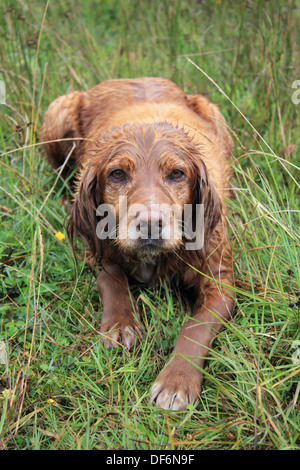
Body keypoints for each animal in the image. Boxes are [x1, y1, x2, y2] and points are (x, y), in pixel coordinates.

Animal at [39, 76, 234, 408]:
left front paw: (177, 380)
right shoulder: (98, 250)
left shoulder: (220, 278)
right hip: (58, 111)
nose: (150, 223)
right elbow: (112, 278)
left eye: (177, 173)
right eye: (117, 174)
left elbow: (196, 326)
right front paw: (121, 324)